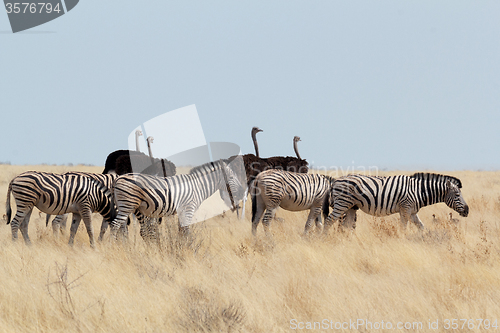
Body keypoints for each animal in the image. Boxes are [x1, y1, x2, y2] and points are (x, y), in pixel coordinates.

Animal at [109, 160, 244, 240]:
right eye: (231, 177)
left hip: (126, 206)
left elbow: (182, 230)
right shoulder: (189, 208)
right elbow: (187, 231)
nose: (242, 192)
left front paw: (181, 246)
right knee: (115, 225)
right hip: (127, 205)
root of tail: (118, 178)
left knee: (121, 228)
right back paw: (112, 248)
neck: (198, 186)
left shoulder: (182, 211)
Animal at [322, 172, 470, 232]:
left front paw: (425, 239)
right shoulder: (405, 208)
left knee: (346, 226)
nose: (467, 211)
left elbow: (421, 226)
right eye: (457, 195)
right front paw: (402, 240)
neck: (418, 191)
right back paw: (324, 239)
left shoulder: (412, 212)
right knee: (329, 221)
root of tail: (335, 181)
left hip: (351, 207)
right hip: (342, 204)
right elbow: (403, 227)